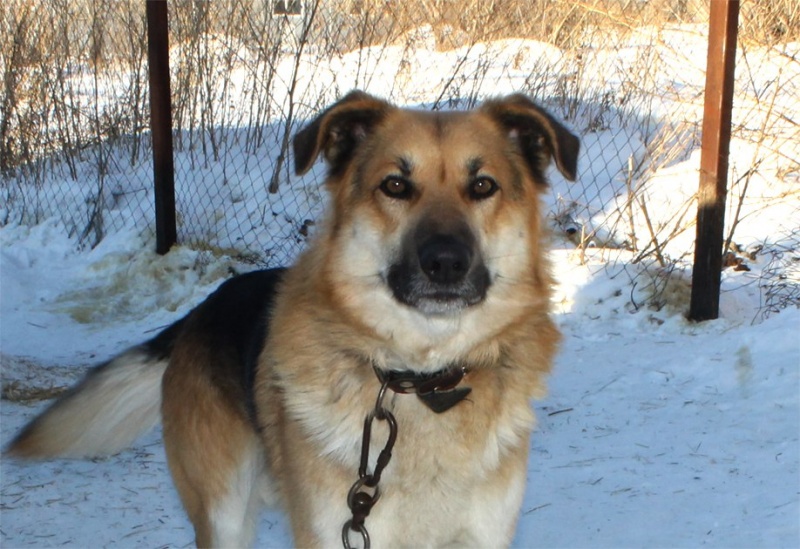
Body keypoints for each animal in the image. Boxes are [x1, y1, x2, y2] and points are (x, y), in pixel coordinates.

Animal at [9, 92, 580, 544]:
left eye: (482, 186)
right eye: (395, 186)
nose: (445, 262)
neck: (421, 378)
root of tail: (206, 306)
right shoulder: (339, 530)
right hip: (225, 513)